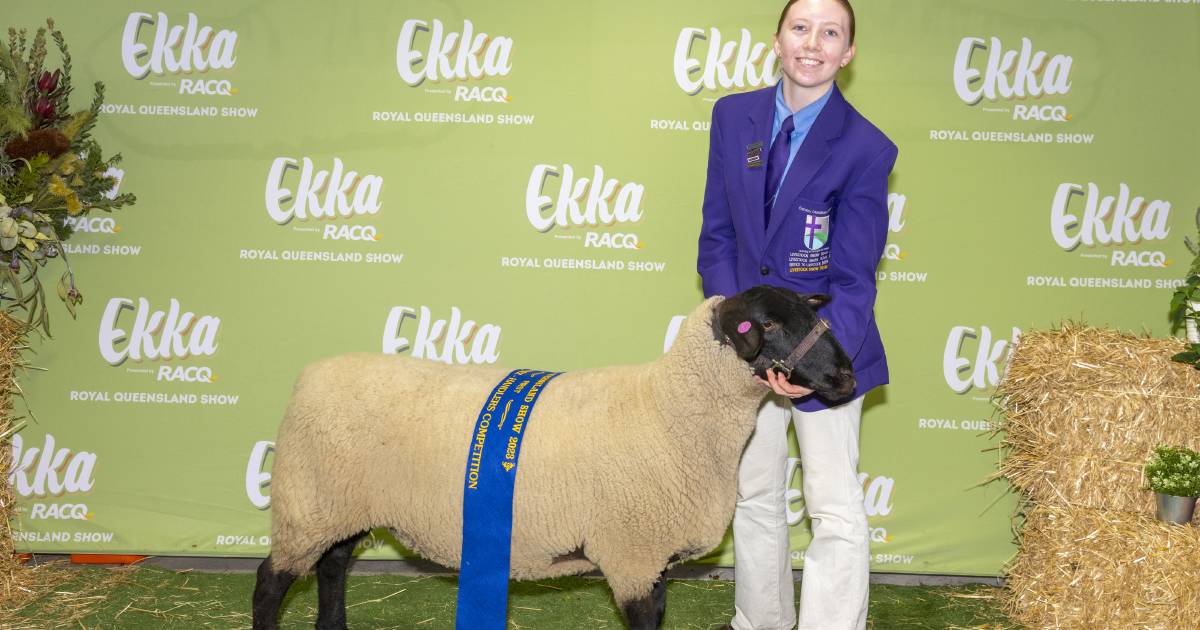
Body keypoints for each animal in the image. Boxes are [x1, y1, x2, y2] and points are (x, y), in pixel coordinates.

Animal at [250, 285, 854, 628]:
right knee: (270, 582)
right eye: (768, 324)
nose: (847, 377)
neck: (669, 408)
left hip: (339, 505)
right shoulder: (631, 555)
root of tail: (311, 376)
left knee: (331, 569)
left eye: (810, 314)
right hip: (306, 505)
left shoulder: (650, 556)